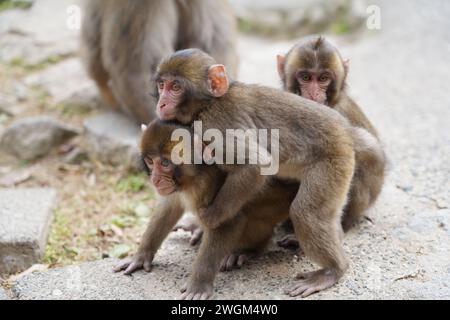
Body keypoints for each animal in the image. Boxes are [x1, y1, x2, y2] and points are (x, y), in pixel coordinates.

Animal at [115, 120, 298, 300]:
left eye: (165, 163)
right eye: (150, 162)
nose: (155, 179)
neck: (195, 175)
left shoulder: (208, 185)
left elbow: (226, 222)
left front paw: (198, 285)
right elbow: (169, 206)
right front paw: (140, 256)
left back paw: (249, 249)